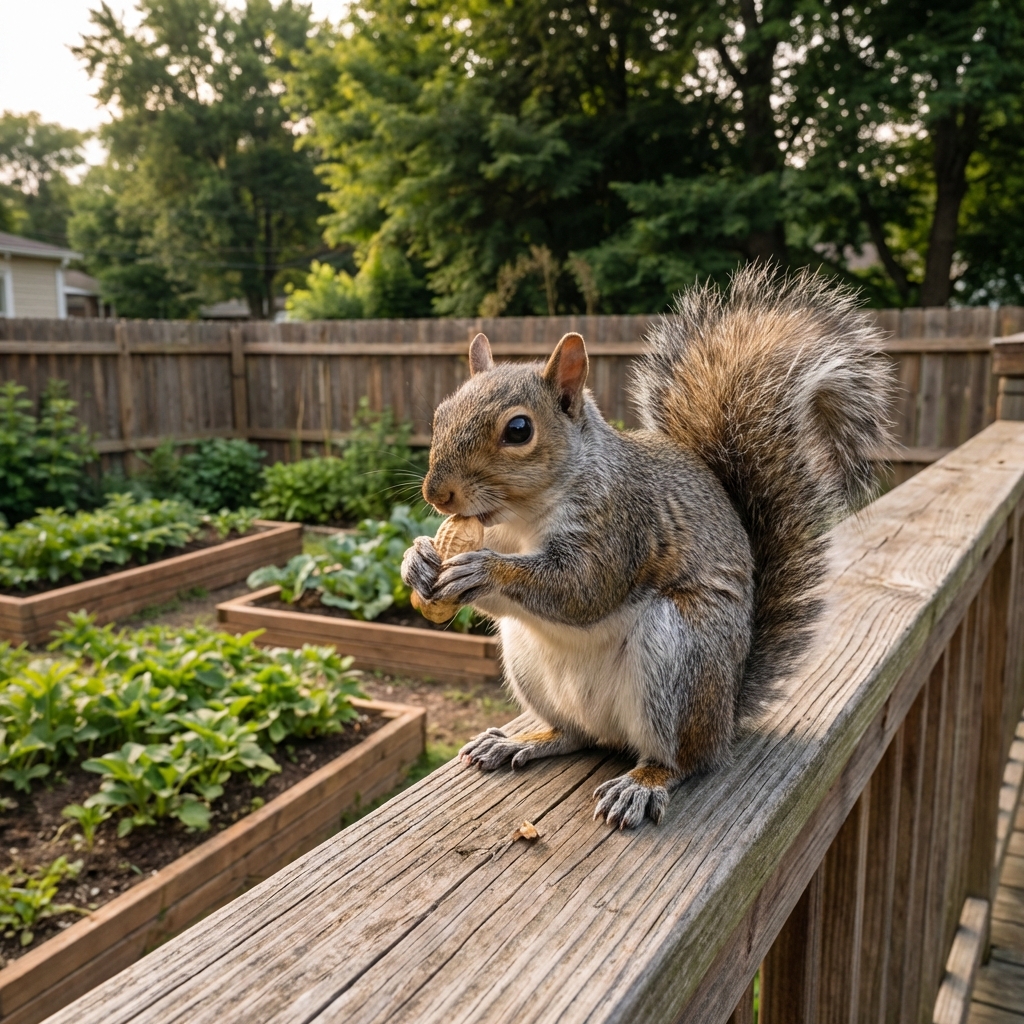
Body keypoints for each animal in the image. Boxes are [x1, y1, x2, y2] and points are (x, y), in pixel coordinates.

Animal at [401, 265, 894, 828]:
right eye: (440, 414)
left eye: (519, 429)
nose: (436, 494)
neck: (521, 519)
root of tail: (725, 715)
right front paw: (417, 558)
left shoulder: (622, 525)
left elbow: (582, 588)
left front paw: (482, 571)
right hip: (529, 662)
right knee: (575, 734)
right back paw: (522, 740)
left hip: (682, 653)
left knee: (683, 759)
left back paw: (642, 783)